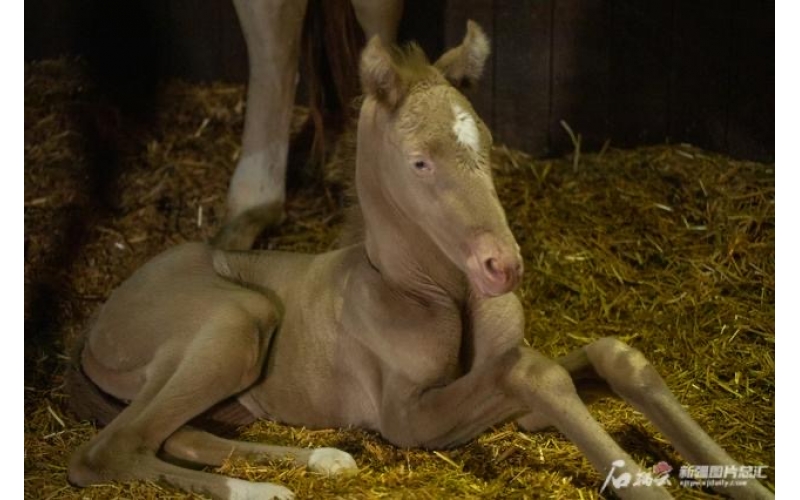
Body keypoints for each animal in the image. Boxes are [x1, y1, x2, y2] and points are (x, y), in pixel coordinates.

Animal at [65, 21, 772, 498]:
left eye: (486, 142)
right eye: (419, 163)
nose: (502, 267)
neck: (430, 292)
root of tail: (95, 327)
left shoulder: (507, 401)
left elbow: (609, 356)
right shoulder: (407, 418)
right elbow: (534, 371)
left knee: (179, 432)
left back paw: (324, 461)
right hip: (238, 321)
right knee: (106, 451)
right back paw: (265, 488)